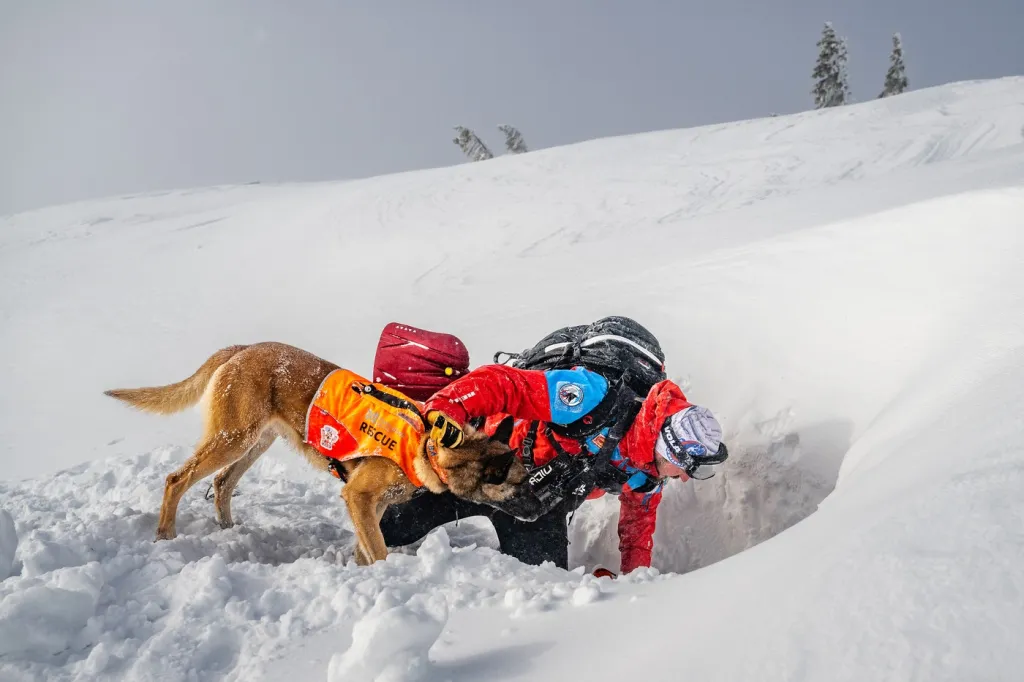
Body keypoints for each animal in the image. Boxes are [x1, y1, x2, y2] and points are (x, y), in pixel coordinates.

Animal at [101, 339, 544, 561]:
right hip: (233, 439)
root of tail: (242, 348)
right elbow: (379, 551)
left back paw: (227, 530)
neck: (432, 446)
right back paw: (165, 536)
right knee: (176, 479)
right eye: (519, 484)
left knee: (223, 483)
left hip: (255, 442)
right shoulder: (358, 495)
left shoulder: (372, 503)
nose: (543, 508)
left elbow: (366, 547)